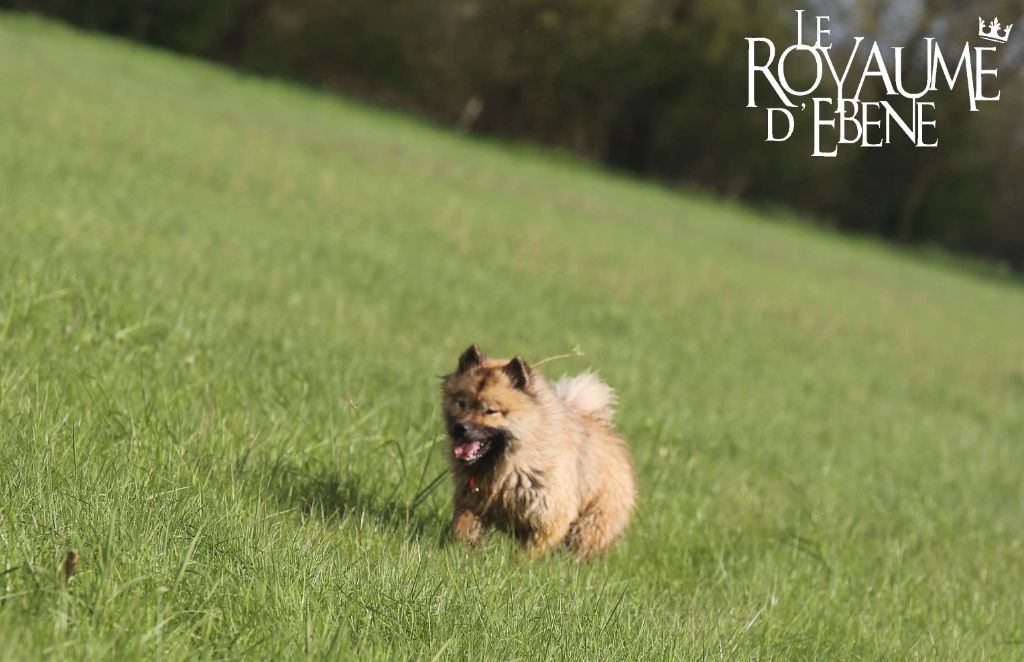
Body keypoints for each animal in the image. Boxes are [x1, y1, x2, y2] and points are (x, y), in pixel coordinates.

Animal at [442, 348, 634, 561]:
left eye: (490, 411)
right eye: (461, 403)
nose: (460, 427)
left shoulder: (550, 515)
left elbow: (530, 552)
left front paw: (519, 565)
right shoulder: (471, 502)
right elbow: (463, 531)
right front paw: (460, 554)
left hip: (591, 525)